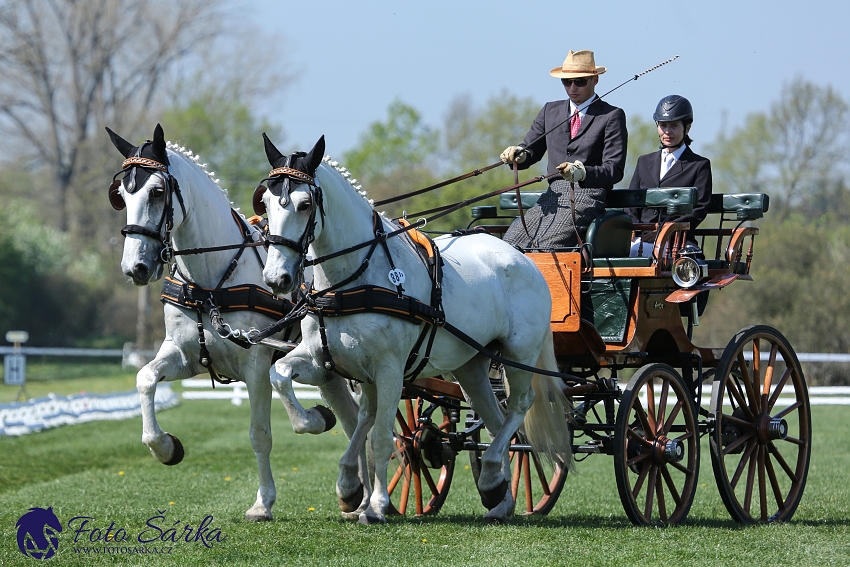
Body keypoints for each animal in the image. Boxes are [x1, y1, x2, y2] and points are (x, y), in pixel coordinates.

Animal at [104, 125, 360, 524]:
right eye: (121, 194)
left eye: (158, 191)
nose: (136, 268)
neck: (212, 283)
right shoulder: (185, 356)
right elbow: (145, 378)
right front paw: (165, 447)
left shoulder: (255, 365)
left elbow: (260, 434)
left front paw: (263, 502)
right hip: (329, 371)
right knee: (355, 421)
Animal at [260, 134, 568, 524]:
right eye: (265, 202)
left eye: (304, 204)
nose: (277, 279)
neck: (352, 281)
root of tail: (524, 258)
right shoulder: (328, 361)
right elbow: (283, 377)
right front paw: (324, 439)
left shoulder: (390, 369)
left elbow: (380, 436)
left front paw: (376, 506)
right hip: (470, 367)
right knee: (496, 421)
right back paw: (499, 494)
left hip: (520, 355)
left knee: (520, 406)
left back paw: (493, 475)